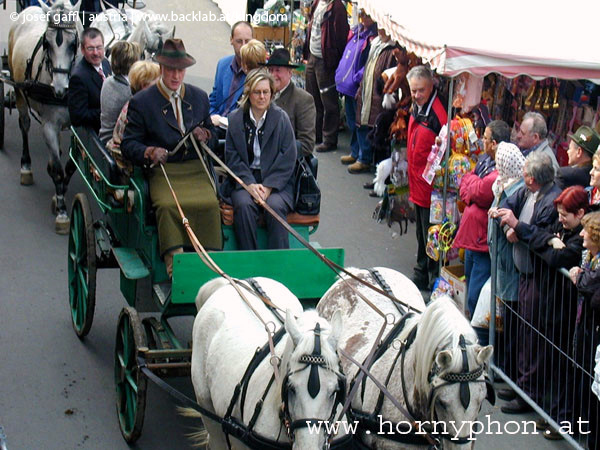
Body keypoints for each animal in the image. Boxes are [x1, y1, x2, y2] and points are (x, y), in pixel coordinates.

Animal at [8, 0, 82, 232]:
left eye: (73, 43)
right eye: (46, 44)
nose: (59, 89)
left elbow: (70, 166)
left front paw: (61, 191)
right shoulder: (49, 125)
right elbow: (59, 169)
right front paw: (62, 210)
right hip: (19, 90)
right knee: (24, 123)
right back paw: (26, 167)